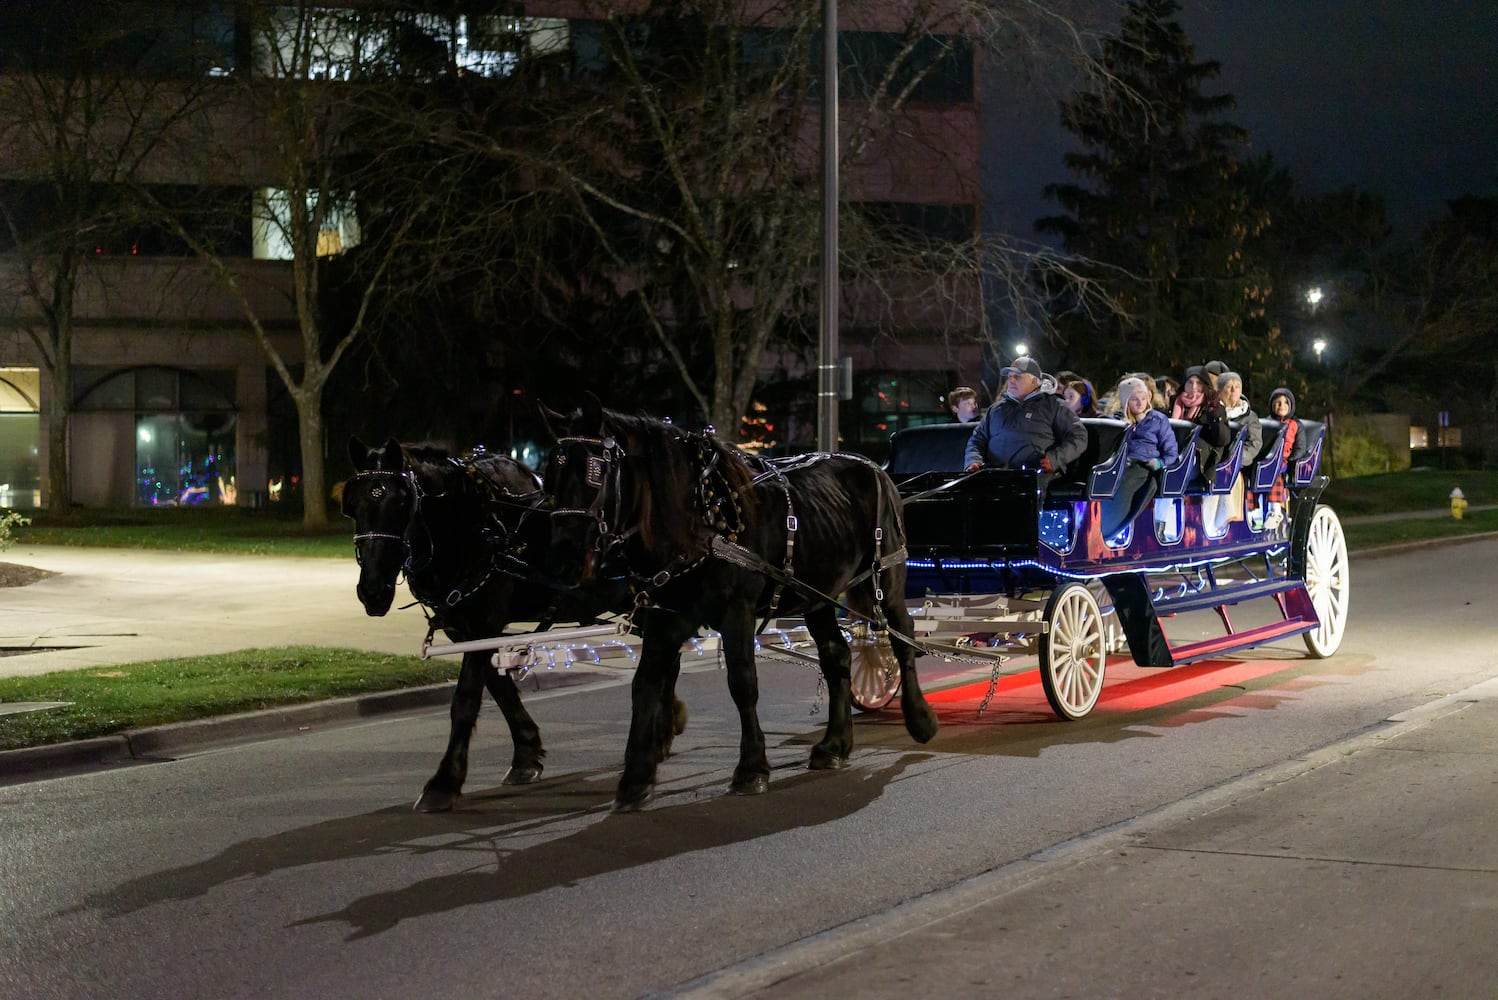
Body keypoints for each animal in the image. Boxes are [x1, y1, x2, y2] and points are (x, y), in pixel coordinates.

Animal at [344, 437, 686, 814]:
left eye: (402, 502)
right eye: (353, 505)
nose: (372, 591)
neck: (477, 527)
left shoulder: (484, 623)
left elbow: (465, 701)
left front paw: (443, 783)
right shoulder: (465, 631)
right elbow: (500, 688)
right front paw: (526, 753)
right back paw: (664, 730)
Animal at [539, 395, 934, 808]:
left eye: (594, 472)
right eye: (550, 477)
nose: (562, 562)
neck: (701, 520)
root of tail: (874, 468)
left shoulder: (736, 612)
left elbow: (742, 682)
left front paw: (751, 768)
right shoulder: (665, 617)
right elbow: (644, 685)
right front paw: (636, 777)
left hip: (885, 578)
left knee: (903, 636)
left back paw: (919, 719)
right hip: (816, 595)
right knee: (836, 654)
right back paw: (834, 745)